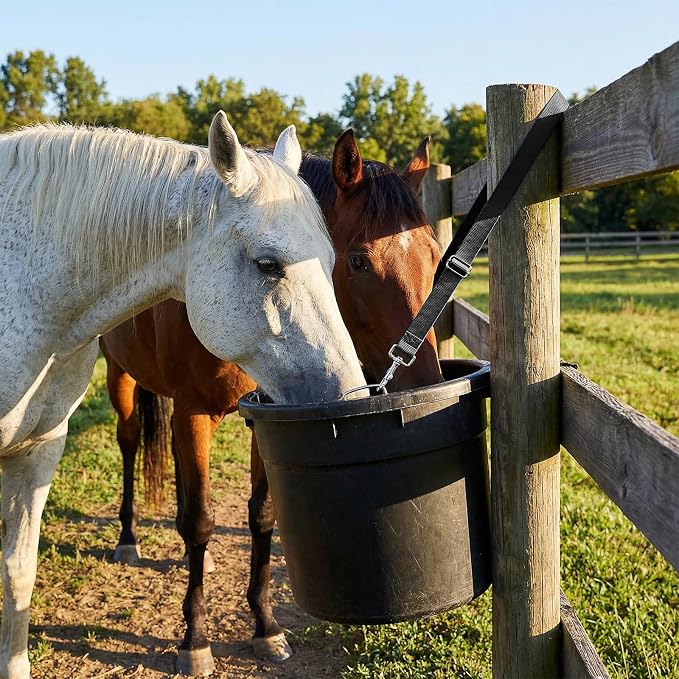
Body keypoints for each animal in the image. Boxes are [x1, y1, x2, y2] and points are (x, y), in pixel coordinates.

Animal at [0, 113, 367, 679]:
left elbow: (18, 571)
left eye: (335, 262)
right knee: (131, 444)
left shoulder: (37, 450)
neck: (23, 285)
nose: (348, 396)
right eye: (268, 265)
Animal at [100, 129, 443, 675]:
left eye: (434, 255)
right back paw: (128, 540)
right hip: (121, 378)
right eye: (358, 260)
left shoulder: (268, 416)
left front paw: (265, 627)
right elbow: (200, 520)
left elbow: (260, 515)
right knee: (130, 443)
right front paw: (195, 640)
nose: (424, 385)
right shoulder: (194, 413)